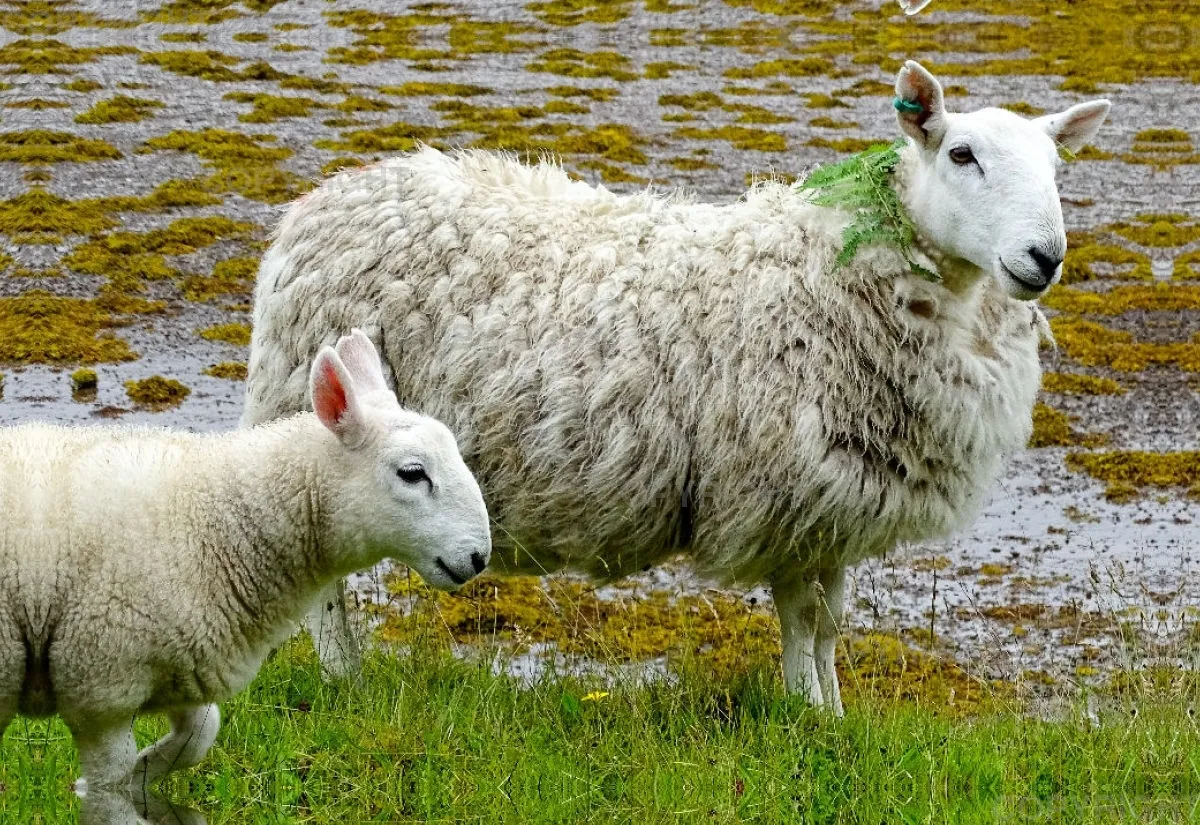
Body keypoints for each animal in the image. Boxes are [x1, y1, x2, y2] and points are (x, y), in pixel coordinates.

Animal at [0, 331, 490, 821]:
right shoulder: (101, 687)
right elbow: (110, 783)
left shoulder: (180, 668)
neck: (214, 516)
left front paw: (144, 775)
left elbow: (199, 736)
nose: (478, 556)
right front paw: (111, 787)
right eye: (412, 473)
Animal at [242, 60, 1111, 714]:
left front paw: (831, 713)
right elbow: (803, 619)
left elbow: (831, 624)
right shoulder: (786, 493)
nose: (1045, 256)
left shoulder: (837, 502)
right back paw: (346, 680)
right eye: (962, 154)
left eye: (1055, 166)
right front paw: (804, 715)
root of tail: (325, 199)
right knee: (327, 581)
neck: (842, 263)